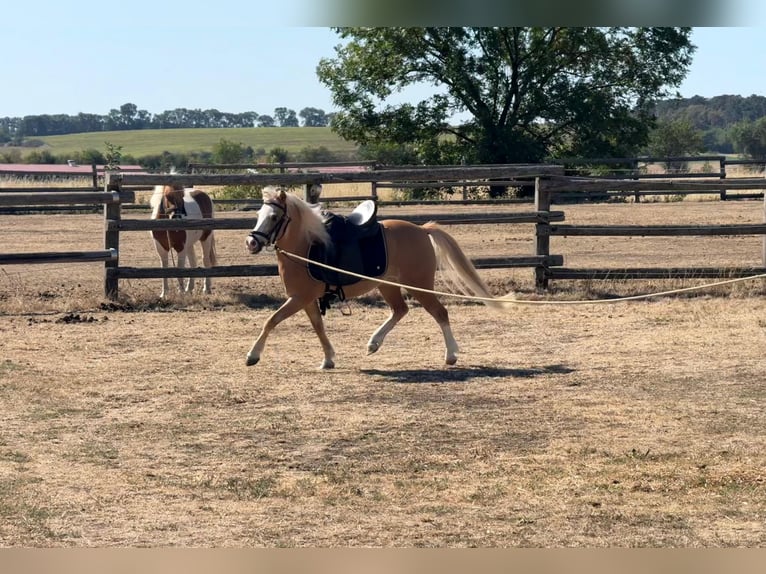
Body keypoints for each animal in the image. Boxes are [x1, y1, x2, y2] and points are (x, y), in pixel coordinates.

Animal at [243, 186, 514, 369]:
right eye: (258, 213)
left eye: (274, 217)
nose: (251, 242)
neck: (306, 245)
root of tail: (422, 230)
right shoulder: (306, 300)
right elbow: (318, 327)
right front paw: (329, 359)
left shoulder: (299, 298)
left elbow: (271, 321)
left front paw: (253, 355)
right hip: (389, 285)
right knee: (400, 310)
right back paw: (374, 343)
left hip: (419, 285)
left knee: (440, 313)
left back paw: (451, 355)